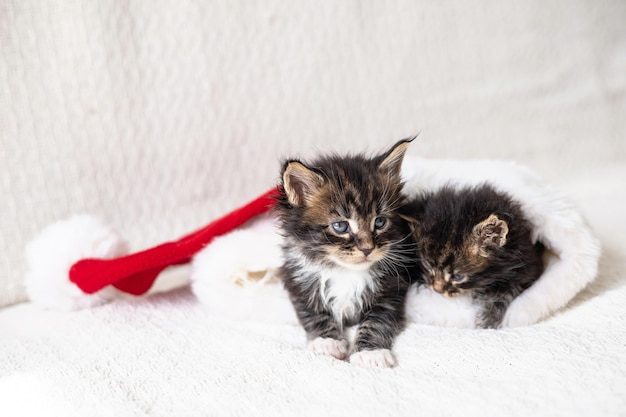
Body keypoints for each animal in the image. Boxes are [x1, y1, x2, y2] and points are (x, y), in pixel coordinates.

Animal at [276, 138, 416, 366]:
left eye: (380, 222)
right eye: (341, 226)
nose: (368, 248)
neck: (345, 272)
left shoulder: (392, 289)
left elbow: (377, 321)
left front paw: (371, 353)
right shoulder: (297, 281)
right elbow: (314, 314)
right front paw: (327, 342)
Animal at [404, 183, 540, 328]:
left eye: (458, 276)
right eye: (428, 266)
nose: (437, 290)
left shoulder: (527, 267)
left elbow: (506, 293)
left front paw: (488, 319)